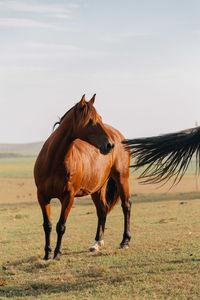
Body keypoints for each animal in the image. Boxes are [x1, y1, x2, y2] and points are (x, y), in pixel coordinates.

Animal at [34, 94, 131, 260]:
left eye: (100, 118)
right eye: (91, 120)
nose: (110, 145)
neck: (54, 161)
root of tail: (118, 136)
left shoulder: (68, 197)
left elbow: (61, 226)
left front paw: (57, 254)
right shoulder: (42, 196)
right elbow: (48, 225)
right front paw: (47, 254)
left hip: (121, 179)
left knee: (126, 206)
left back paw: (125, 241)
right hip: (98, 188)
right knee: (102, 210)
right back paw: (96, 243)